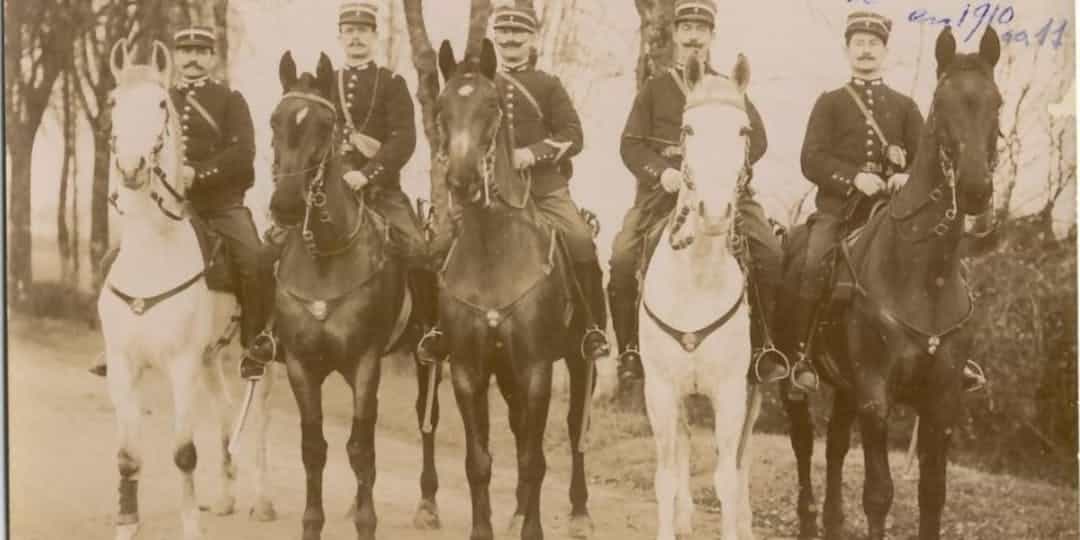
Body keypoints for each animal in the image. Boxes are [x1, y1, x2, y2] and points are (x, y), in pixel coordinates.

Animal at [97, 39, 276, 540]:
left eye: (162, 104)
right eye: (114, 101)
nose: (132, 167)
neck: (153, 253)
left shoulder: (180, 365)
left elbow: (183, 453)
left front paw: (191, 525)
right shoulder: (124, 366)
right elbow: (127, 456)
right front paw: (127, 524)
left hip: (261, 354)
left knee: (259, 414)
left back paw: (261, 501)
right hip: (211, 357)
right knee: (225, 409)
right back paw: (227, 494)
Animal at [432, 39, 600, 540]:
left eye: (492, 106)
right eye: (440, 108)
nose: (462, 182)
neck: (493, 251)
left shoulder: (536, 369)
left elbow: (532, 459)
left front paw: (534, 528)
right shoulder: (469, 371)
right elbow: (479, 462)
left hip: (578, 364)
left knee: (572, 429)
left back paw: (578, 510)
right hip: (505, 377)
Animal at [635, 55, 764, 540]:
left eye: (743, 130)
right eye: (688, 129)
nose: (713, 212)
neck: (696, 281)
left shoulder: (731, 392)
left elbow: (727, 477)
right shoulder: (660, 390)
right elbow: (666, 477)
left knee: (742, 462)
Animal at [777, 28, 1002, 540]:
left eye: (996, 102)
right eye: (940, 104)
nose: (976, 188)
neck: (924, 275)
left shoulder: (940, 403)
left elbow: (932, 495)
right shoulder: (875, 396)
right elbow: (879, 494)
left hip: (844, 388)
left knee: (836, 446)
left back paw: (833, 522)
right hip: (792, 379)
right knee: (804, 442)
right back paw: (807, 519)